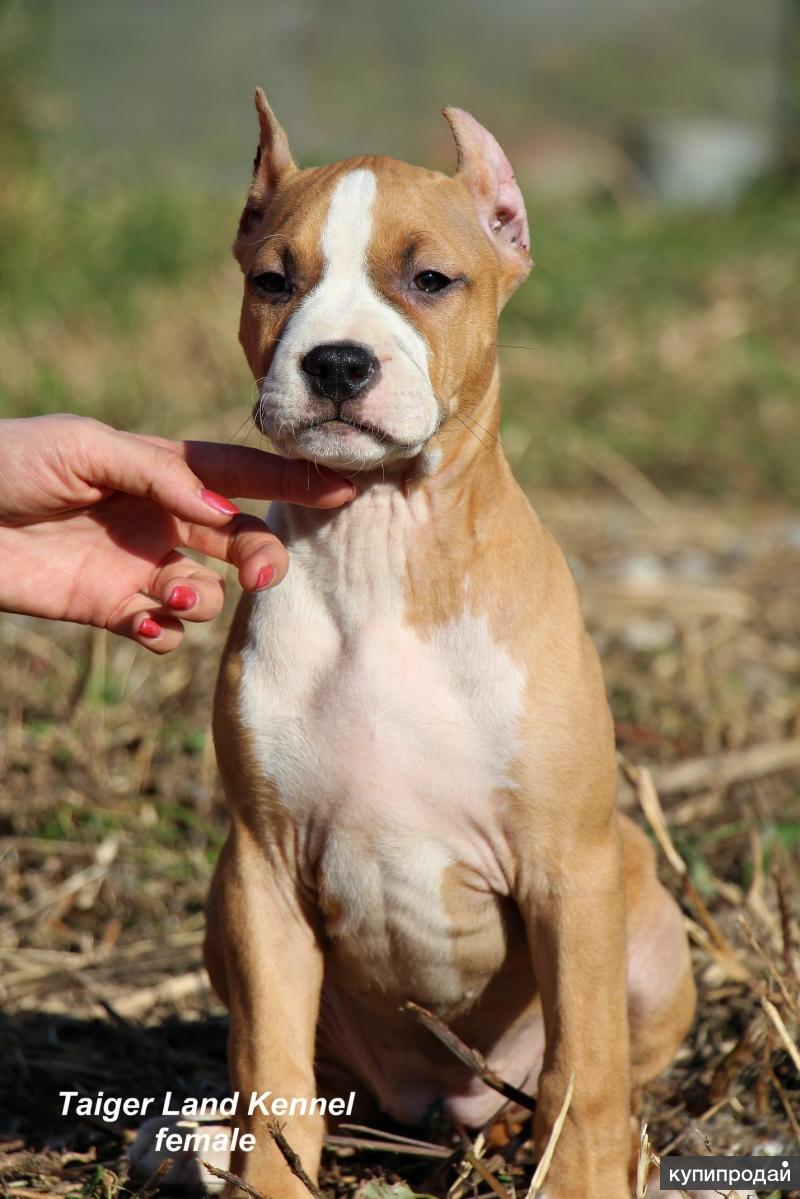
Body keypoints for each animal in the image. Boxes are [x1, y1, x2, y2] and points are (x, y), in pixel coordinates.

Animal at [205, 91, 695, 1199]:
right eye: (273, 280)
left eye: (430, 280)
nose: (337, 360)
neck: (383, 546)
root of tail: (447, 1107)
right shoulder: (261, 867)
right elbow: (272, 1064)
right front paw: (268, 1176)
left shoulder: (566, 869)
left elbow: (584, 1067)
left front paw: (581, 1175)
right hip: (223, 907)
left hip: (643, 921)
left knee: (599, 1068)